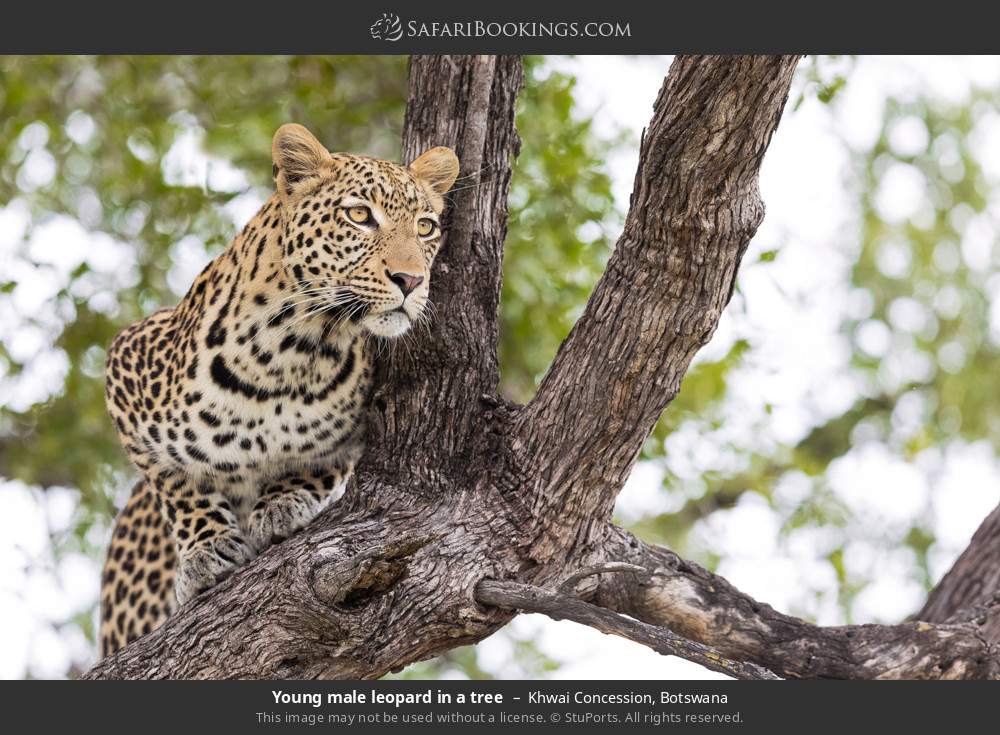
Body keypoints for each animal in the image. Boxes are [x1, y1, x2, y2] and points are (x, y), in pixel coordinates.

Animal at [99, 123, 458, 660]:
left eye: (426, 226)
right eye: (359, 216)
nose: (411, 280)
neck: (293, 349)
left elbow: (323, 460)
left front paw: (281, 503)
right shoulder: (126, 363)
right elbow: (175, 480)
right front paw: (206, 549)